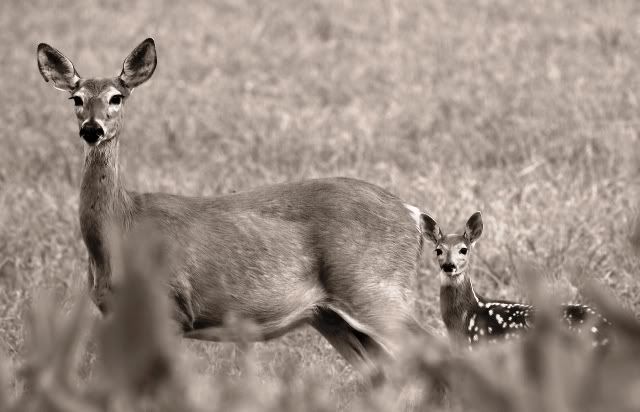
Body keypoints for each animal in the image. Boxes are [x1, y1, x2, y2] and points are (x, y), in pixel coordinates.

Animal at [36, 38, 436, 380]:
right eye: (76, 98)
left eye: (116, 97)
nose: (92, 129)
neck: (121, 227)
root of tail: (414, 215)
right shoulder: (114, 314)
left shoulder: (170, 308)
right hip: (330, 315)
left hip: (374, 288)